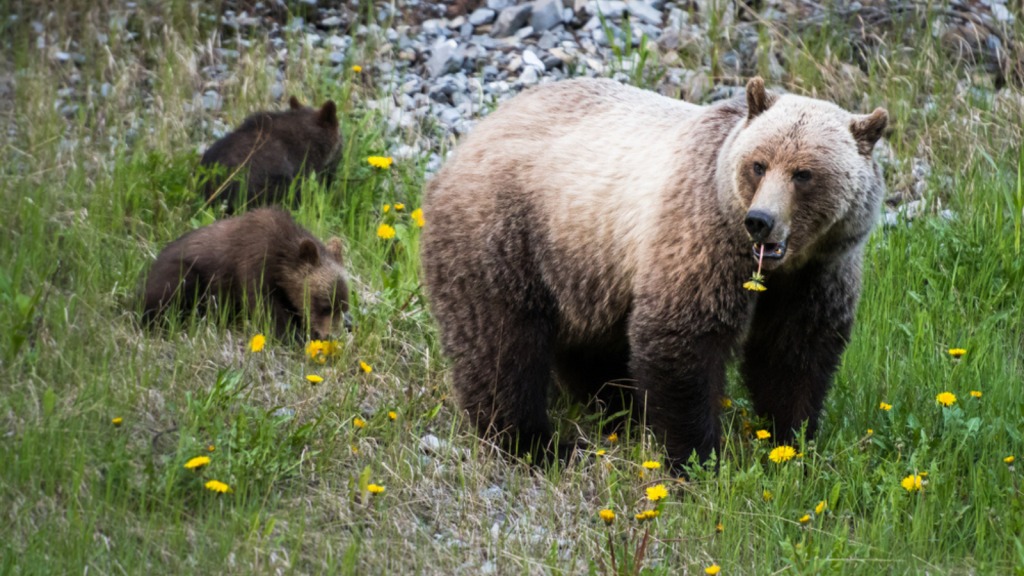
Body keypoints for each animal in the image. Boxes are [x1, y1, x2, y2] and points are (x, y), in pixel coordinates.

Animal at [140, 206, 350, 338]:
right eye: (325, 306)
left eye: (343, 307)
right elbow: (263, 305)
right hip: (181, 273)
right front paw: (294, 335)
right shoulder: (252, 261)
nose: (331, 335)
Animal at [421, 76, 888, 469]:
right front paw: (697, 458)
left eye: (803, 174)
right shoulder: (702, 242)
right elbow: (682, 339)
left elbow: (794, 352)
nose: (760, 221)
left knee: (591, 348)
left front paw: (792, 441)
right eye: (758, 164)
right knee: (502, 342)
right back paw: (538, 444)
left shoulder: (818, 273)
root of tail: (471, 136)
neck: (775, 267)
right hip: (509, 233)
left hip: (587, 267)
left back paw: (616, 410)